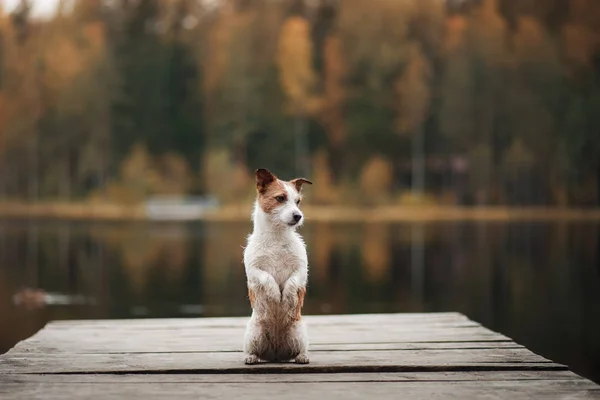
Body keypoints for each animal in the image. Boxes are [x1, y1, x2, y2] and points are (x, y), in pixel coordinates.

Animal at [241, 167, 312, 364]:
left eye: (298, 201)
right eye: (280, 198)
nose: (298, 216)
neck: (277, 237)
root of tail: (276, 352)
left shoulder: (301, 269)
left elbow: (292, 283)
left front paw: (285, 296)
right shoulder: (253, 269)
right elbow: (266, 277)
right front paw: (274, 293)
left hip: (299, 333)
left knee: (300, 350)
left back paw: (302, 356)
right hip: (253, 334)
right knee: (253, 351)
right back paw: (251, 357)